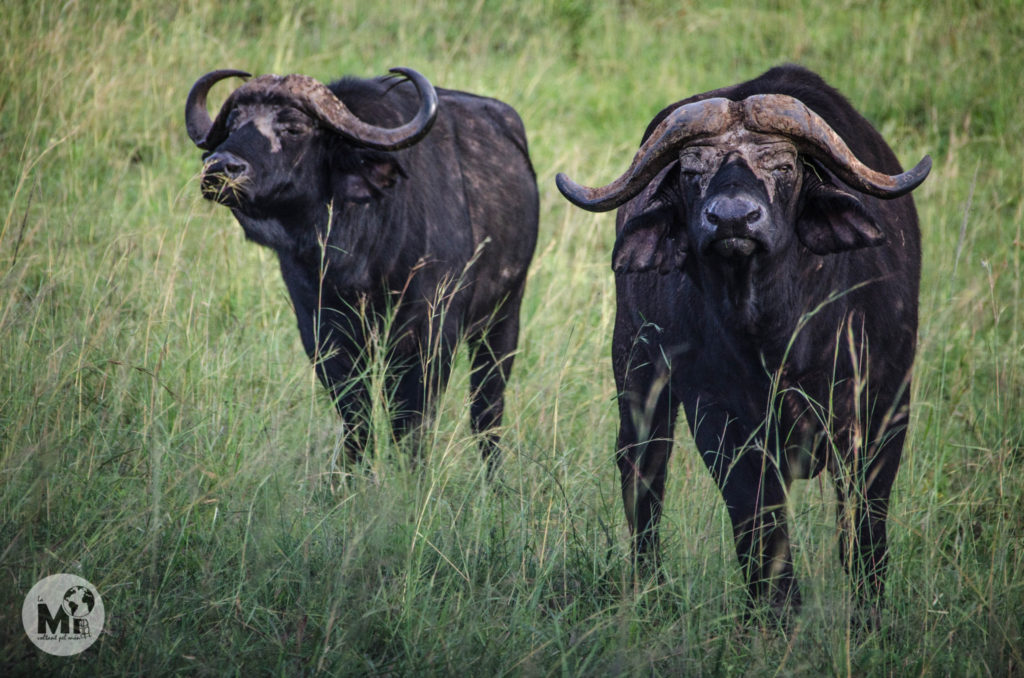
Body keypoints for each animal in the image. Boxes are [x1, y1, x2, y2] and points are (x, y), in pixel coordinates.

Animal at [187, 70, 540, 473]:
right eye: (232, 123)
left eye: (293, 127)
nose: (219, 166)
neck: (361, 257)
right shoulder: (324, 335)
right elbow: (357, 419)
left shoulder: (429, 337)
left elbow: (411, 424)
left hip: (503, 317)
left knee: (487, 411)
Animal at [557, 66, 933, 622]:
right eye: (692, 172)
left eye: (783, 165)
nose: (733, 219)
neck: (777, 337)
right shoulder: (723, 422)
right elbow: (759, 528)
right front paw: (776, 614)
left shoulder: (881, 410)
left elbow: (864, 528)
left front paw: (868, 617)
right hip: (637, 373)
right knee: (643, 474)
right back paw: (651, 588)